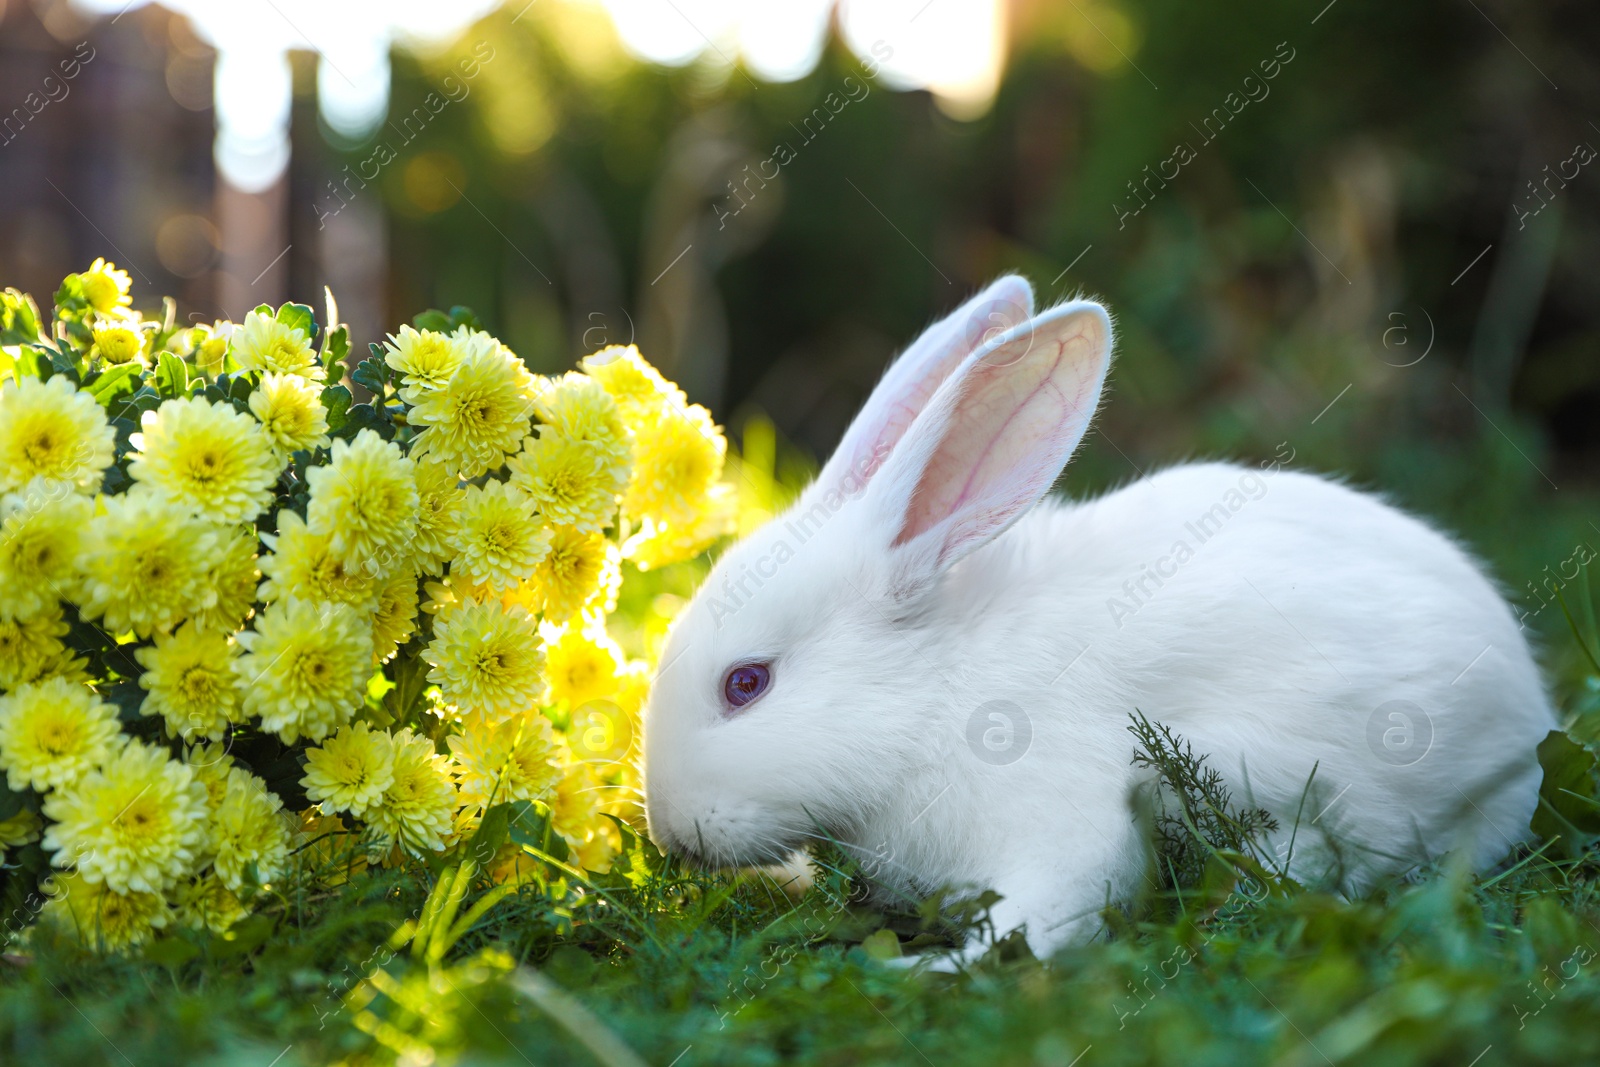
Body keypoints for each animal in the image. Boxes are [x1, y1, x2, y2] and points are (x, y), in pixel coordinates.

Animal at [643, 275, 1555, 959]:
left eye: (746, 684)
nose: (670, 833)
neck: (934, 692)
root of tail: (1528, 708)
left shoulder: (1059, 815)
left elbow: (1050, 911)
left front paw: (927, 970)